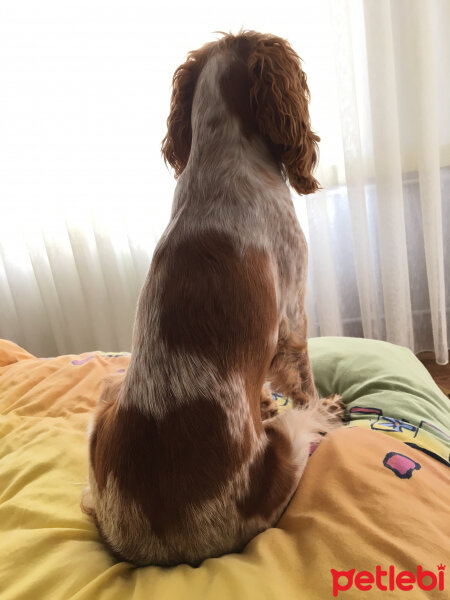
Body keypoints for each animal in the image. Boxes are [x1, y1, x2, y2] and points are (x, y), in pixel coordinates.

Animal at [81, 30, 342, 564]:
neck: (223, 158)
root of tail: (159, 548)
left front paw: (261, 403)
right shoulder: (292, 312)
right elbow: (302, 378)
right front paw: (320, 404)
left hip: (100, 415)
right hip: (288, 449)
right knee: (302, 421)